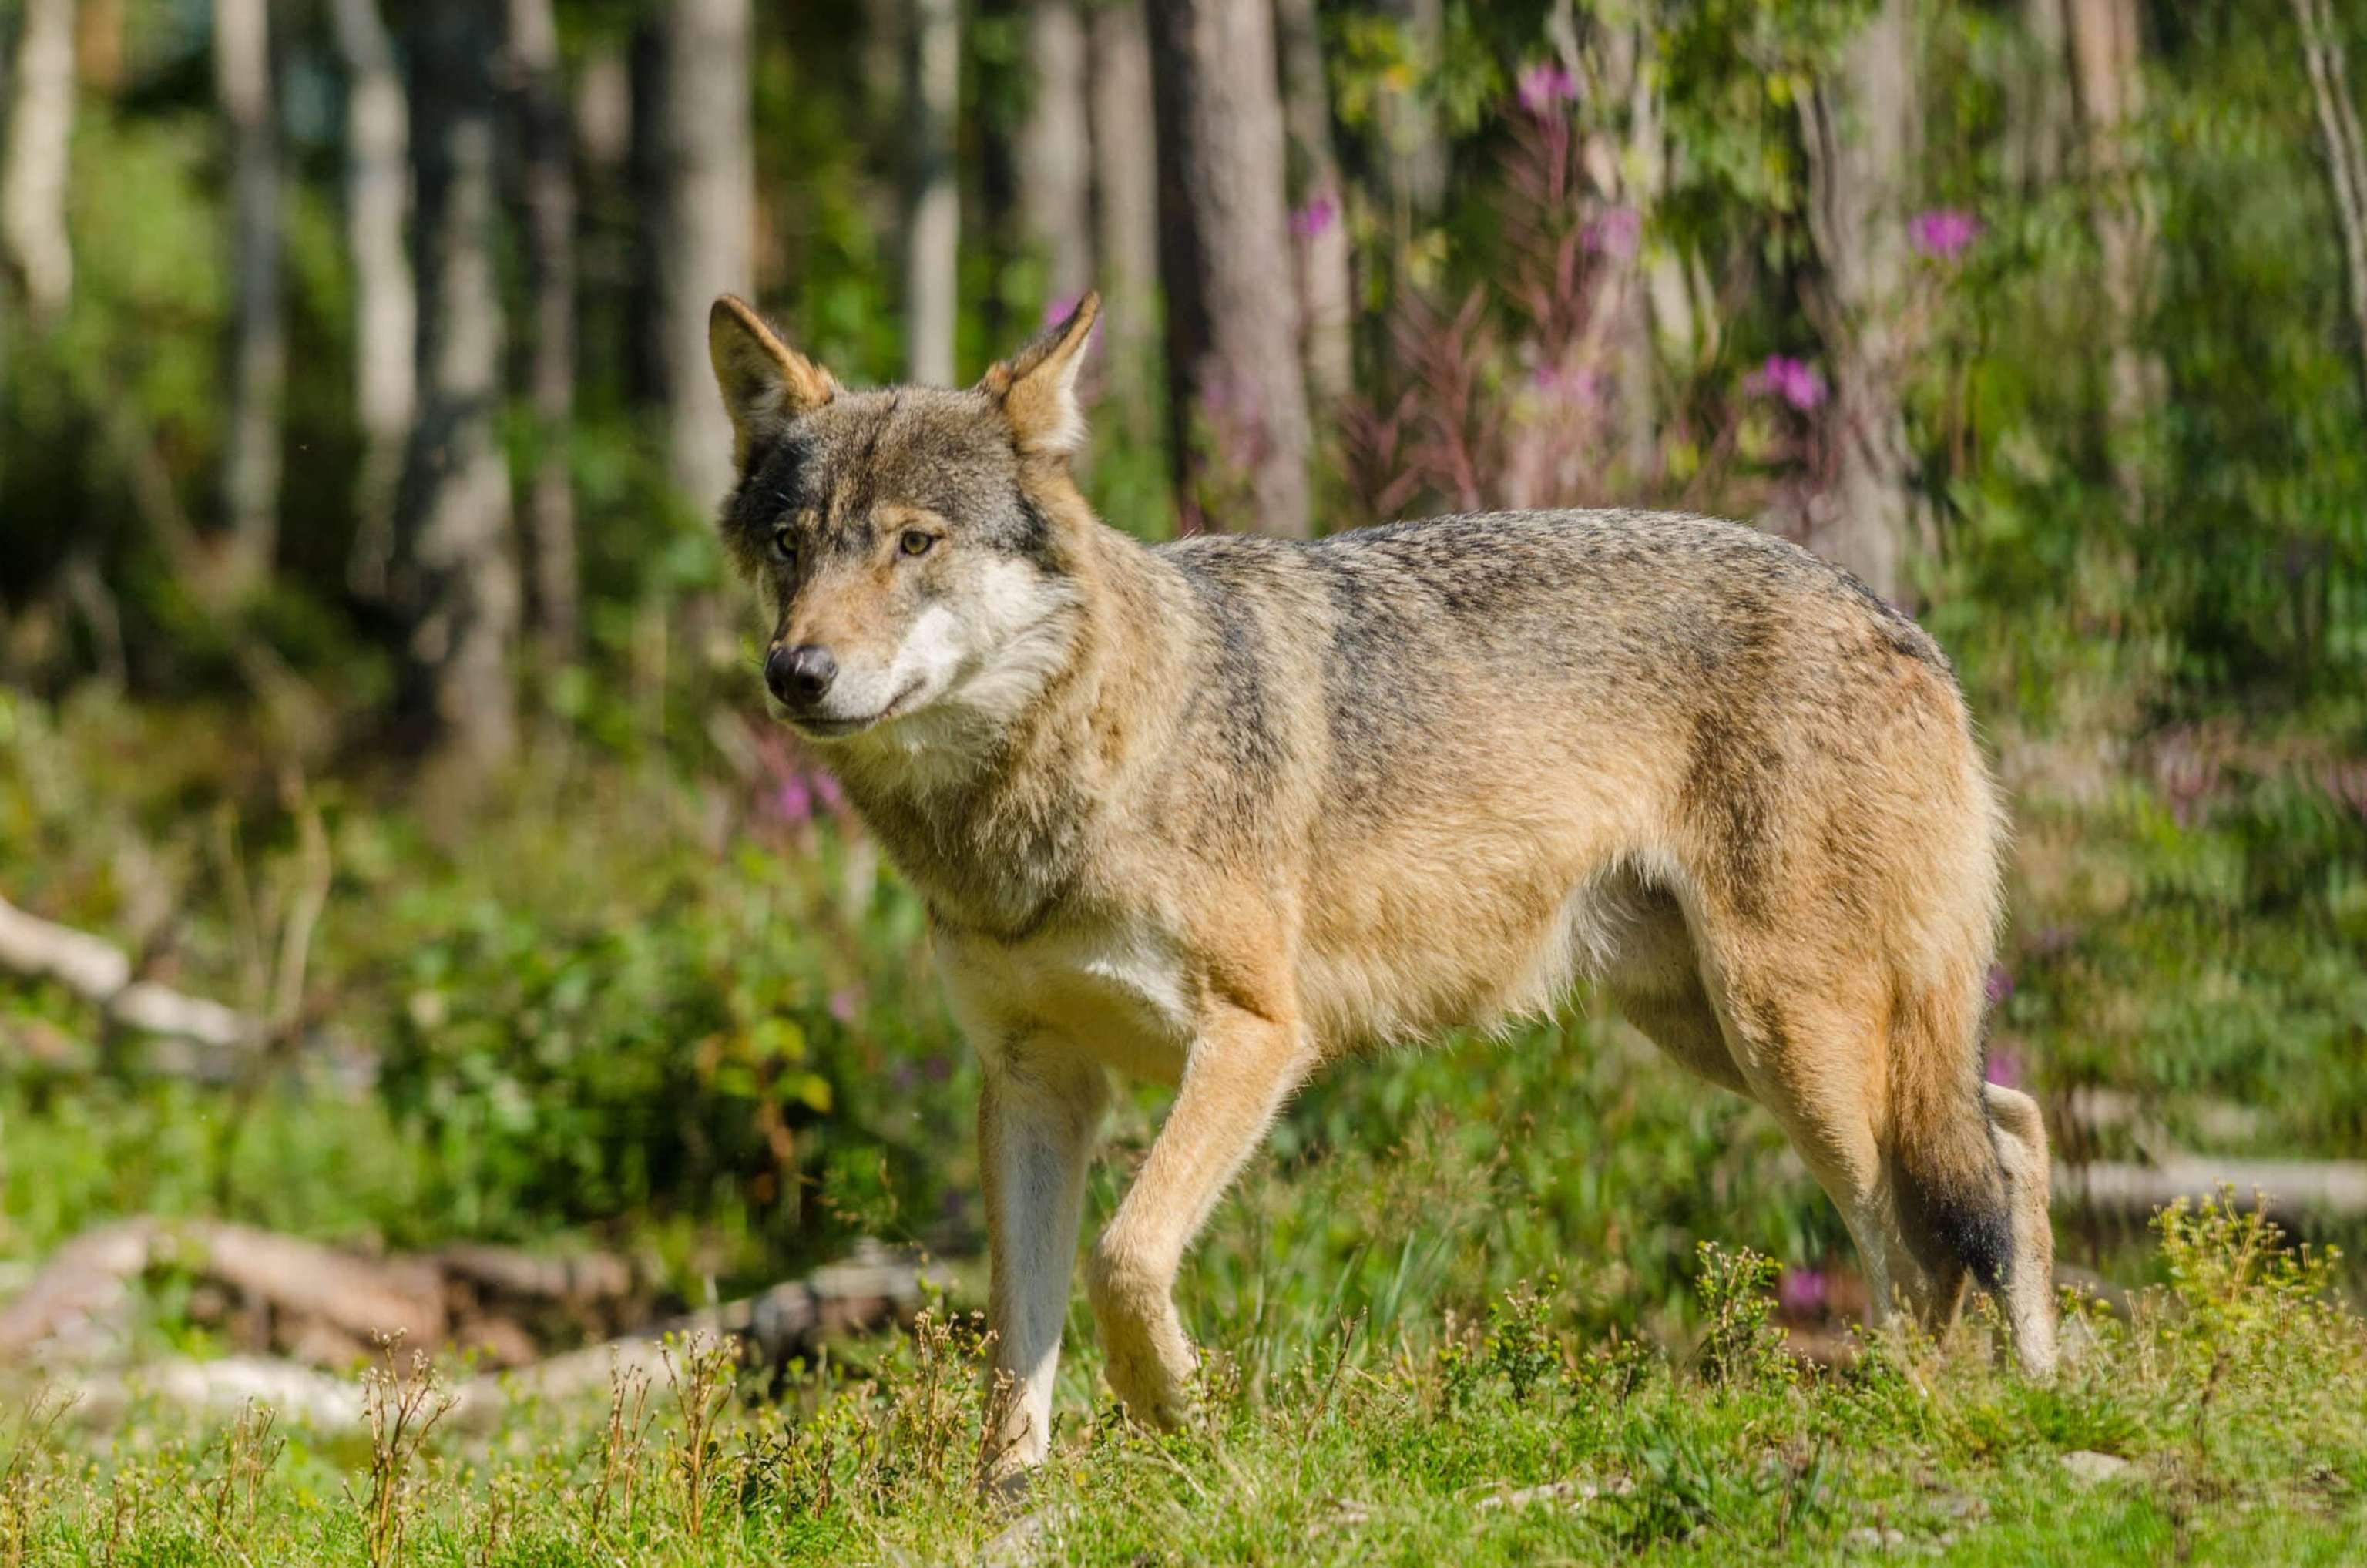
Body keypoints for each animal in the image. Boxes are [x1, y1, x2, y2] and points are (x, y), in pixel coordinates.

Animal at [706, 291, 2057, 1489]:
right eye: (792, 544)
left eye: (913, 542)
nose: (795, 672)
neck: (1063, 779)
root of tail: (1906, 627)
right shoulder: (1035, 1078)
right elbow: (1016, 1335)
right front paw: (1009, 1503)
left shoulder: (1258, 1034)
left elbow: (1124, 1259)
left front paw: (1184, 1421)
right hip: (1721, 1030)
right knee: (2013, 1130)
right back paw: (2047, 1387)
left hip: (1789, 1038)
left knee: (1926, 1230)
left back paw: (1910, 1414)